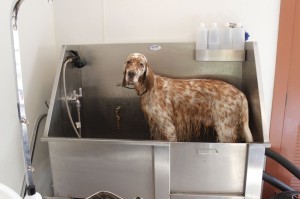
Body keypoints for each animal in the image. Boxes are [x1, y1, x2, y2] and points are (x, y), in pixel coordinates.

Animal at [122, 52, 253, 143]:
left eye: (141, 64)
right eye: (128, 62)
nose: (131, 73)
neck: (149, 89)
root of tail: (240, 93)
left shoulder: (169, 127)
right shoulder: (156, 127)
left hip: (225, 129)